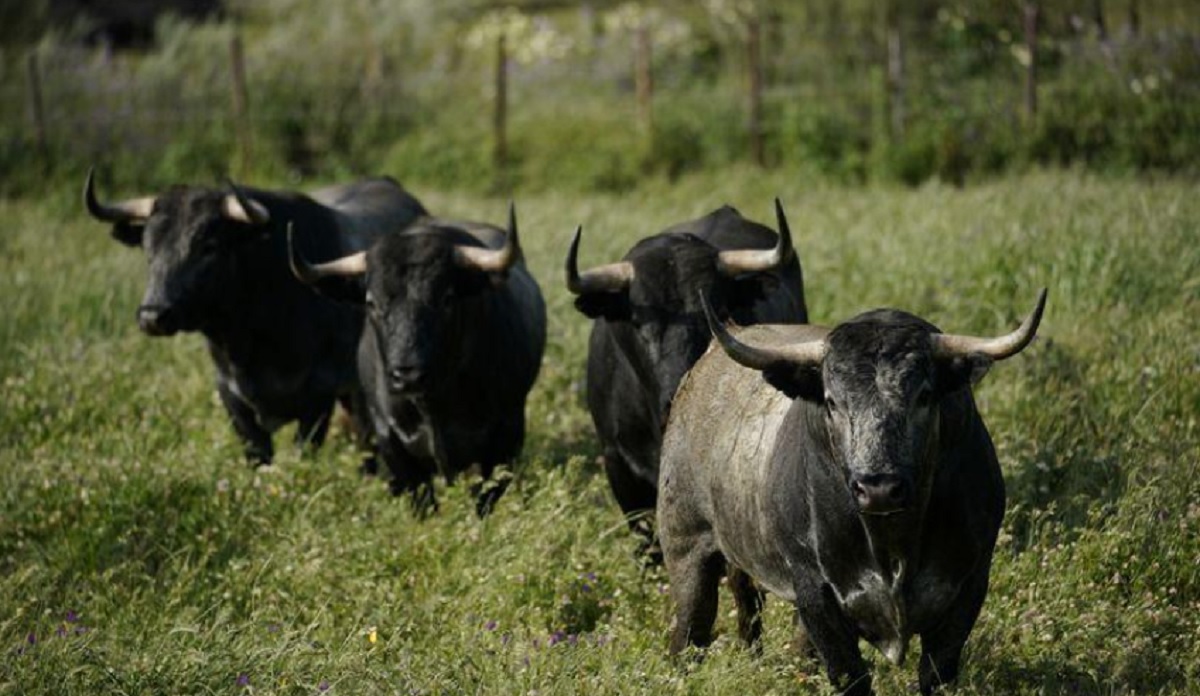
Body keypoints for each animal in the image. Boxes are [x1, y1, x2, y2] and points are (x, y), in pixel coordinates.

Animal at [290, 204, 544, 513]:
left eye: (447, 298)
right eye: (371, 302)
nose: (407, 375)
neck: (433, 405)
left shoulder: (506, 434)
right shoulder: (390, 439)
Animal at [652, 290, 1046, 691]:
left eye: (923, 396)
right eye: (831, 401)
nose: (879, 488)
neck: (894, 546)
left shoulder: (970, 583)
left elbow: (935, 672)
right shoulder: (814, 589)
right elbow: (848, 673)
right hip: (686, 549)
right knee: (690, 633)